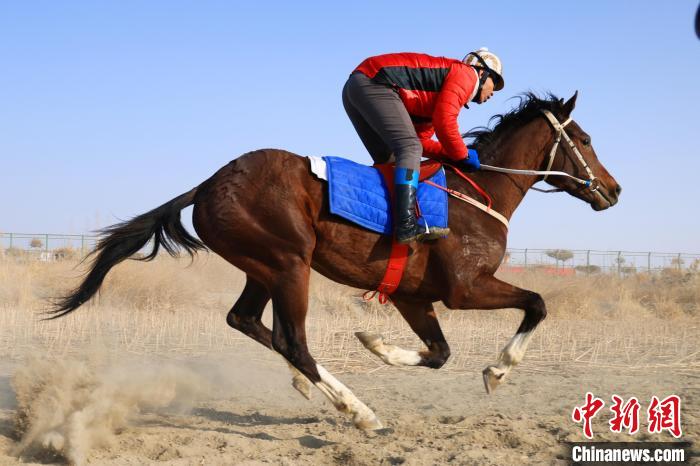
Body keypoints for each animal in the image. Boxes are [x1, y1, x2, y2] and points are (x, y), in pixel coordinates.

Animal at [53, 93, 624, 432]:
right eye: (586, 139)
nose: (614, 190)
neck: (478, 192)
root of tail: (210, 183)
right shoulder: (466, 288)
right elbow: (538, 302)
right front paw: (497, 370)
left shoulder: (414, 295)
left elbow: (438, 354)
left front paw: (375, 343)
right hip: (289, 263)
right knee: (292, 340)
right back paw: (360, 411)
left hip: (263, 266)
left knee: (246, 320)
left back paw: (313, 385)